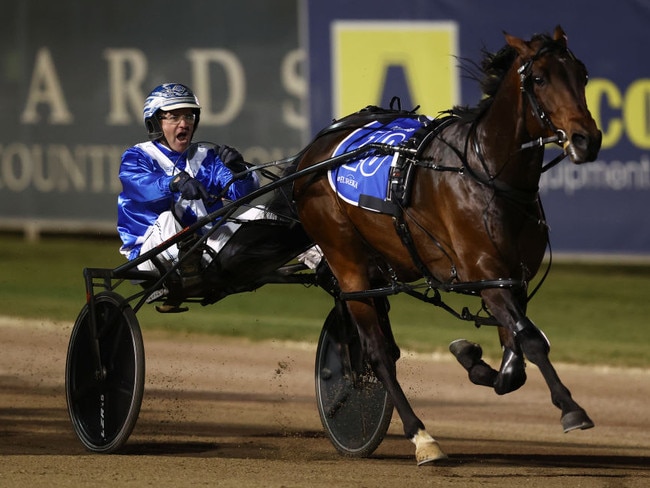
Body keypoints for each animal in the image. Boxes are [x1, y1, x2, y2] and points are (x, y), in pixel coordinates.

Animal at [290, 27, 604, 466]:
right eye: (540, 79)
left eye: (582, 74)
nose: (586, 140)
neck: (486, 174)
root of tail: (311, 155)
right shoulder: (486, 272)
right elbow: (529, 340)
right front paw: (572, 409)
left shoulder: (512, 280)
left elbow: (514, 362)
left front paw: (472, 358)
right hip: (345, 259)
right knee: (376, 351)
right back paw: (421, 436)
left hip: (382, 262)